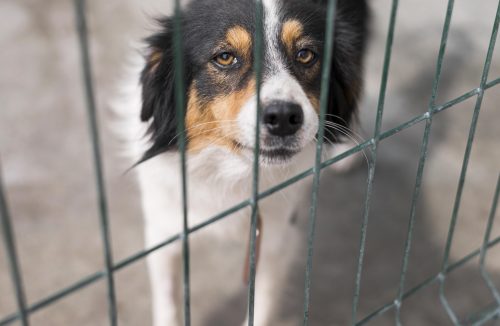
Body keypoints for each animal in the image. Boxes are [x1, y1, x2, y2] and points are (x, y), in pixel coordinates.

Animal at [116, 0, 368, 324]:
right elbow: (167, 300)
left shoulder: (275, 238)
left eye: (306, 54)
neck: (231, 171)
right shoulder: (164, 227)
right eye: (225, 57)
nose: (283, 117)